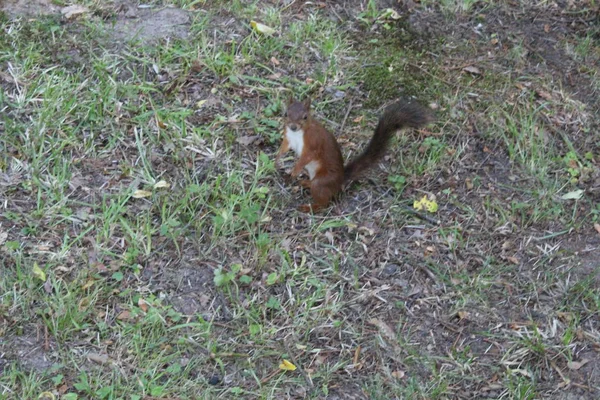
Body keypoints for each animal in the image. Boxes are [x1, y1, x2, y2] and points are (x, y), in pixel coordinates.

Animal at [276, 97, 432, 214]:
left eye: (305, 116)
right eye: (285, 113)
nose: (293, 126)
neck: (298, 133)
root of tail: (340, 180)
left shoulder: (314, 143)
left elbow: (306, 157)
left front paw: (294, 171)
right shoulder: (288, 138)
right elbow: (283, 148)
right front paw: (277, 158)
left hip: (321, 182)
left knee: (324, 202)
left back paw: (309, 207)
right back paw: (306, 183)